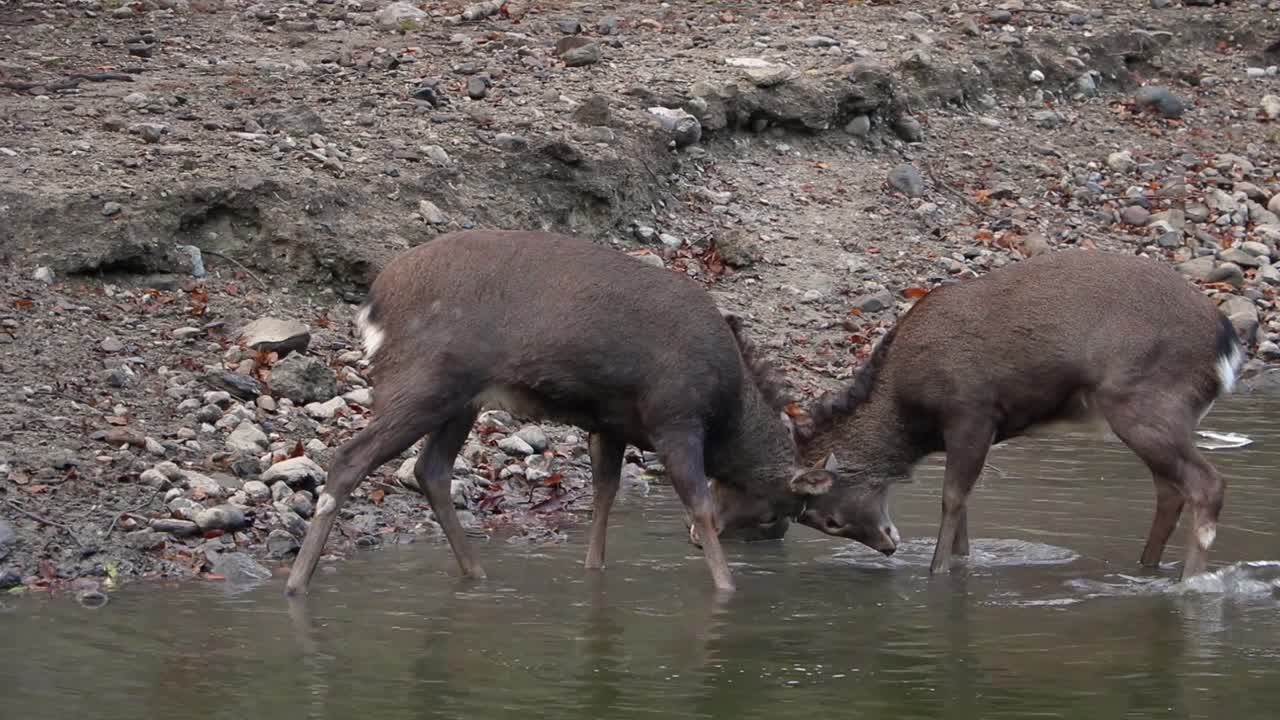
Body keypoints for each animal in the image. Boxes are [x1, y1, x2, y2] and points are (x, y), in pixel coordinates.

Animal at [284, 229, 898, 597]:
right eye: (830, 515)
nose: (891, 540)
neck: (728, 410)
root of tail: (372, 306)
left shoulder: (610, 423)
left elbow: (604, 496)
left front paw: (594, 571)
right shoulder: (674, 416)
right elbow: (698, 504)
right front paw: (726, 589)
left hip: (463, 399)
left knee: (429, 470)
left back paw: (476, 573)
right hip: (425, 380)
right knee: (350, 458)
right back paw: (296, 583)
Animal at [710, 249, 1245, 582]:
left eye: (831, 522)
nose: (888, 546)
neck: (911, 411)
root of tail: (1228, 342)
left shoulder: (972, 409)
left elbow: (952, 498)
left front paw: (936, 572)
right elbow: (963, 506)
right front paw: (962, 564)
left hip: (1145, 400)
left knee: (1206, 484)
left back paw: (1189, 584)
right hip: (1159, 413)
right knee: (1170, 490)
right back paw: (1147, 568)